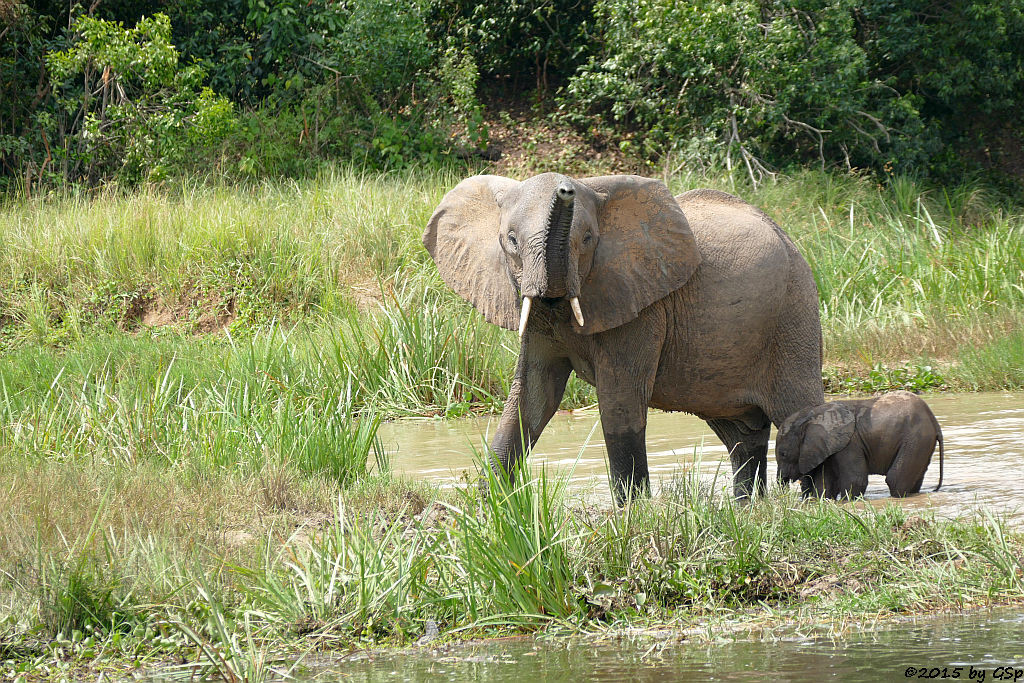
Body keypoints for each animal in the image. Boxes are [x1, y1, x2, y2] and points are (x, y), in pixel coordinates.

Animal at [423, 174, 823, 505]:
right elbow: (533, 397)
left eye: (587, 240)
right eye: (511, 241)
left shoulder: (641, 307)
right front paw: (486, 507)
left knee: (801, 415)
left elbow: (619, 401)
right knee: (741, 436)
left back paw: (817, 504)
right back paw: (747, 508)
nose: (565, 189)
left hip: (793, 314)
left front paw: (631, 512)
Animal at [774, 393, 942, 499]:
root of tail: (933, 420)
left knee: (895, 480)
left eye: (783, 454)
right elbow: (825, 483)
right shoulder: (828, 446)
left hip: (915, 439)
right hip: (921, 443)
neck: (812, 415)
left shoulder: (850, 444)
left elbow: (855, 480)